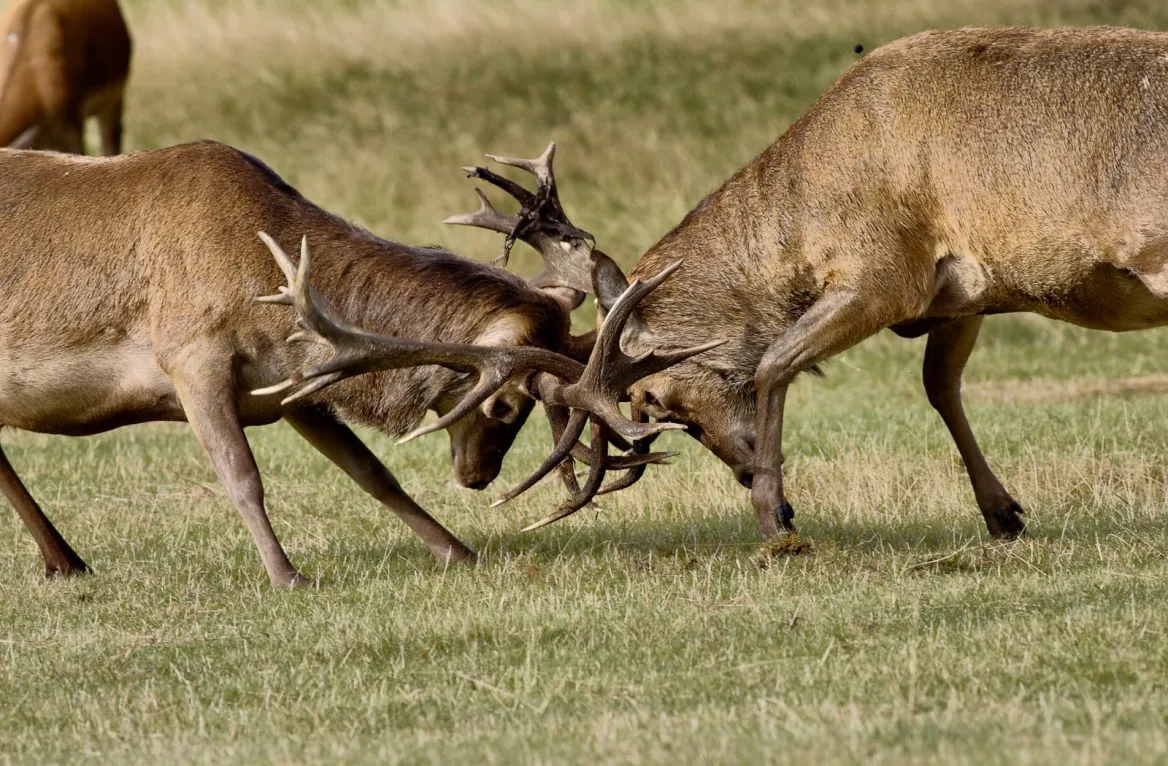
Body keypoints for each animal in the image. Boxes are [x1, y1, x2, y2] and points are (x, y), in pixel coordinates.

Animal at [0, 139, 710, 587]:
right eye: (506, 403)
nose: (477, 478)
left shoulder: (295, 385)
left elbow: (373, 474)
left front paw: (459, 552)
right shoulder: (190, 357)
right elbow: (242, 477)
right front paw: (288, 576)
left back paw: (65, 560)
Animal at [439, 26, 1168, 539]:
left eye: (654, 401)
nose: (741, 471)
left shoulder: (884, 272)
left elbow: (776, 362)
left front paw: (775, 515)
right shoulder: (960, 295)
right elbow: (940, 387)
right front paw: (1003, 514)